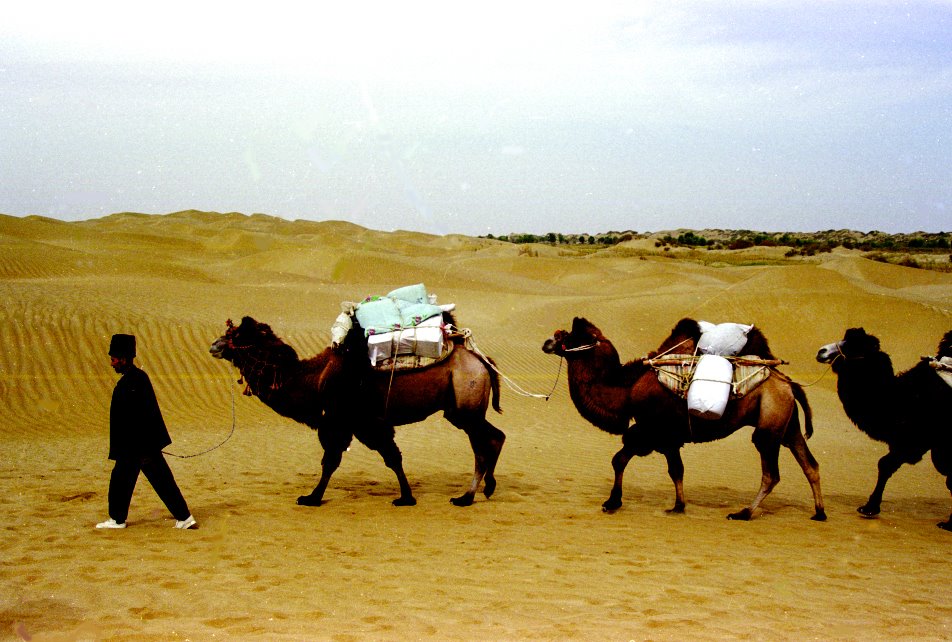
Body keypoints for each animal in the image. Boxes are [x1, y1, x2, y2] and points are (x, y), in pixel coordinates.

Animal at [208, 316, 506, 504]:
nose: (214, 345)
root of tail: (483, 362)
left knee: (481, 447)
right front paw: (406, 496)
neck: (314, 379)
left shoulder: (347, 420)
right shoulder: (362, 424)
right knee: (496, 436)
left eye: (237, 334)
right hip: (465, 409)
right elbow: (390, 457)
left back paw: (466, 497)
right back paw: (488, 487)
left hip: (466, 403)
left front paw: (312, 498)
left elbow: (334, 460)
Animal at [544, 316, 824, 520]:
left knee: (771, 474)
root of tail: (788, 383)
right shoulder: (663, 436)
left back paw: (743, 513)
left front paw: (612, 502)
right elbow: (674, 469)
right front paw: (678, 506)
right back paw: (819, 513)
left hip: (769, 425)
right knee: (810, 464)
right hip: (788, 423)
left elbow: (623, 460)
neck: (627, 391)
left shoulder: (653, 431)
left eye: (569, 336)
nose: (547, 342)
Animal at [812, 328, 952, 528]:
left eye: (854, 346)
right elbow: (885, 465)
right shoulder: (916, 444)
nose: (821, 351)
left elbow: (886, 464)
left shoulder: (916, 442)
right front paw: (869, 507)